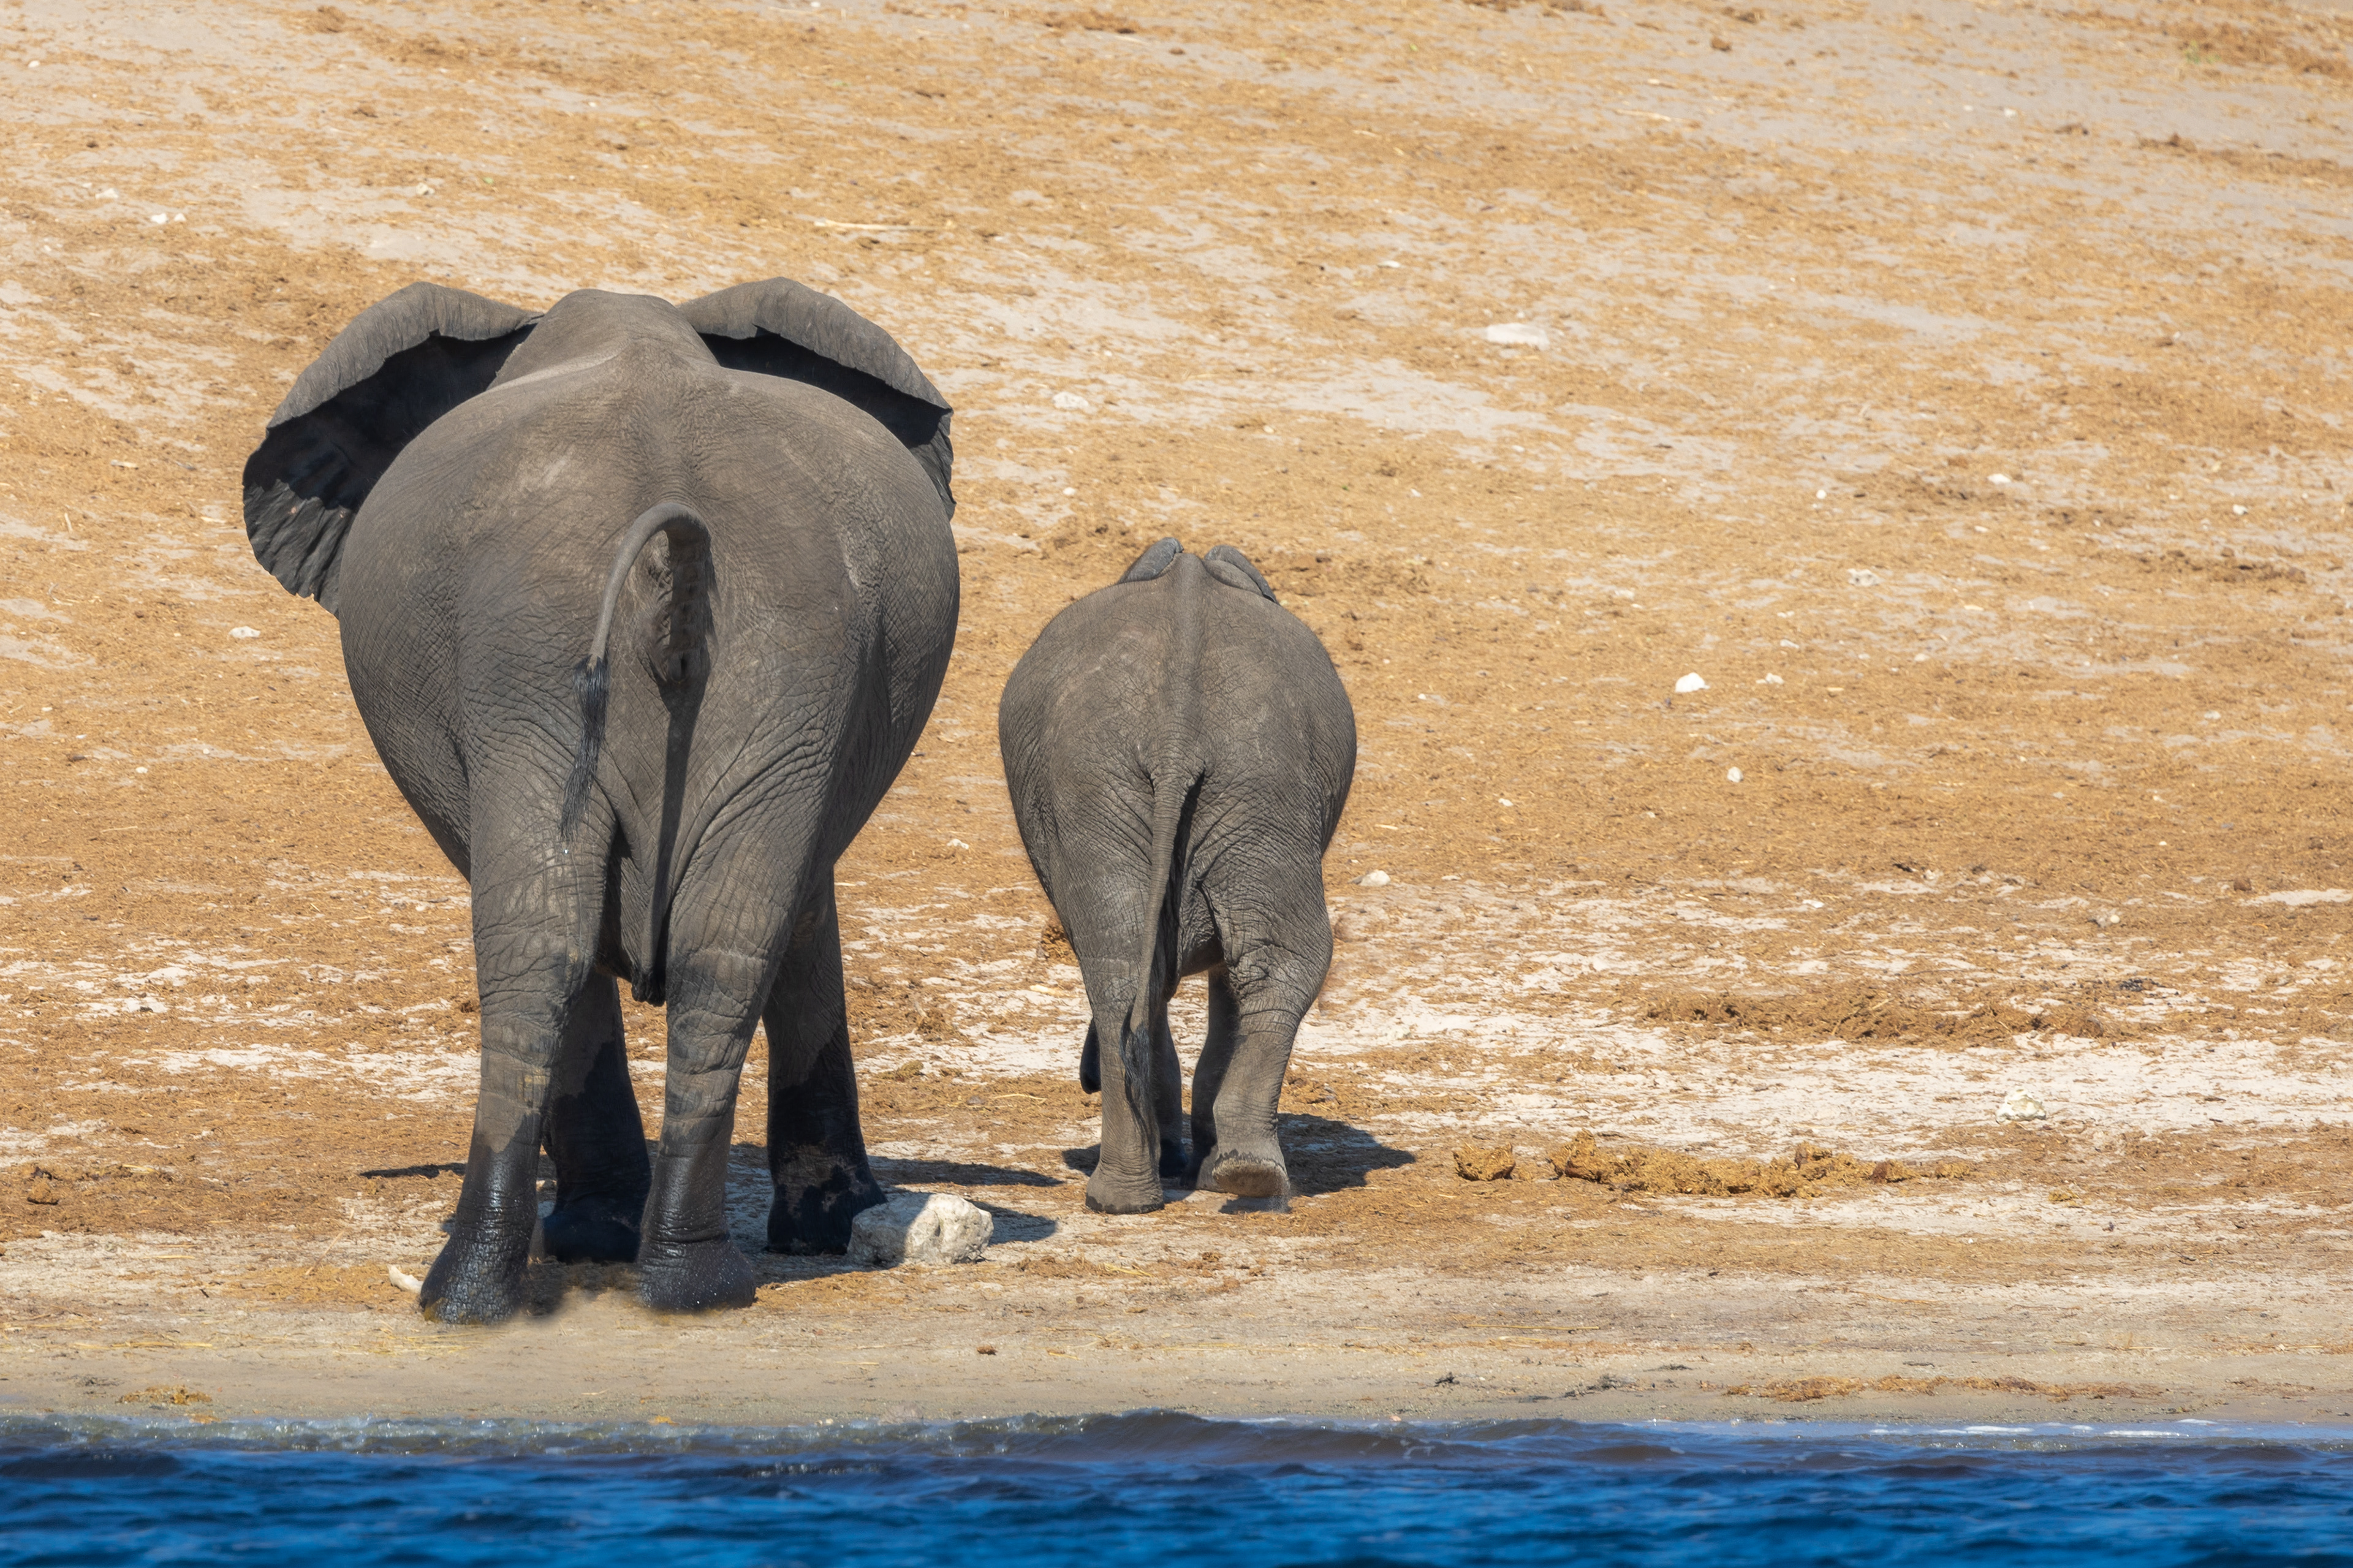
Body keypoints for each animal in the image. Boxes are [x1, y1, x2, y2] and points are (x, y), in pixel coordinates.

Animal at [239, 278, 959, 1320]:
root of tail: (674, 552)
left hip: (554, 663)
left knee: (553, 944)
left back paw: (494, 1288)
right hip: (758, 658)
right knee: (701, 949)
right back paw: (667, 1285)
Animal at [996, 538, 1355, 1214]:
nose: (1083, 1080)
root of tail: (1176, 732)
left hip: (1216, 784)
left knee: (1130, 967)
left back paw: (1165, 1189)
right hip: (1231, 785)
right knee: (1246, 960)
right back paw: (1227, 1179)